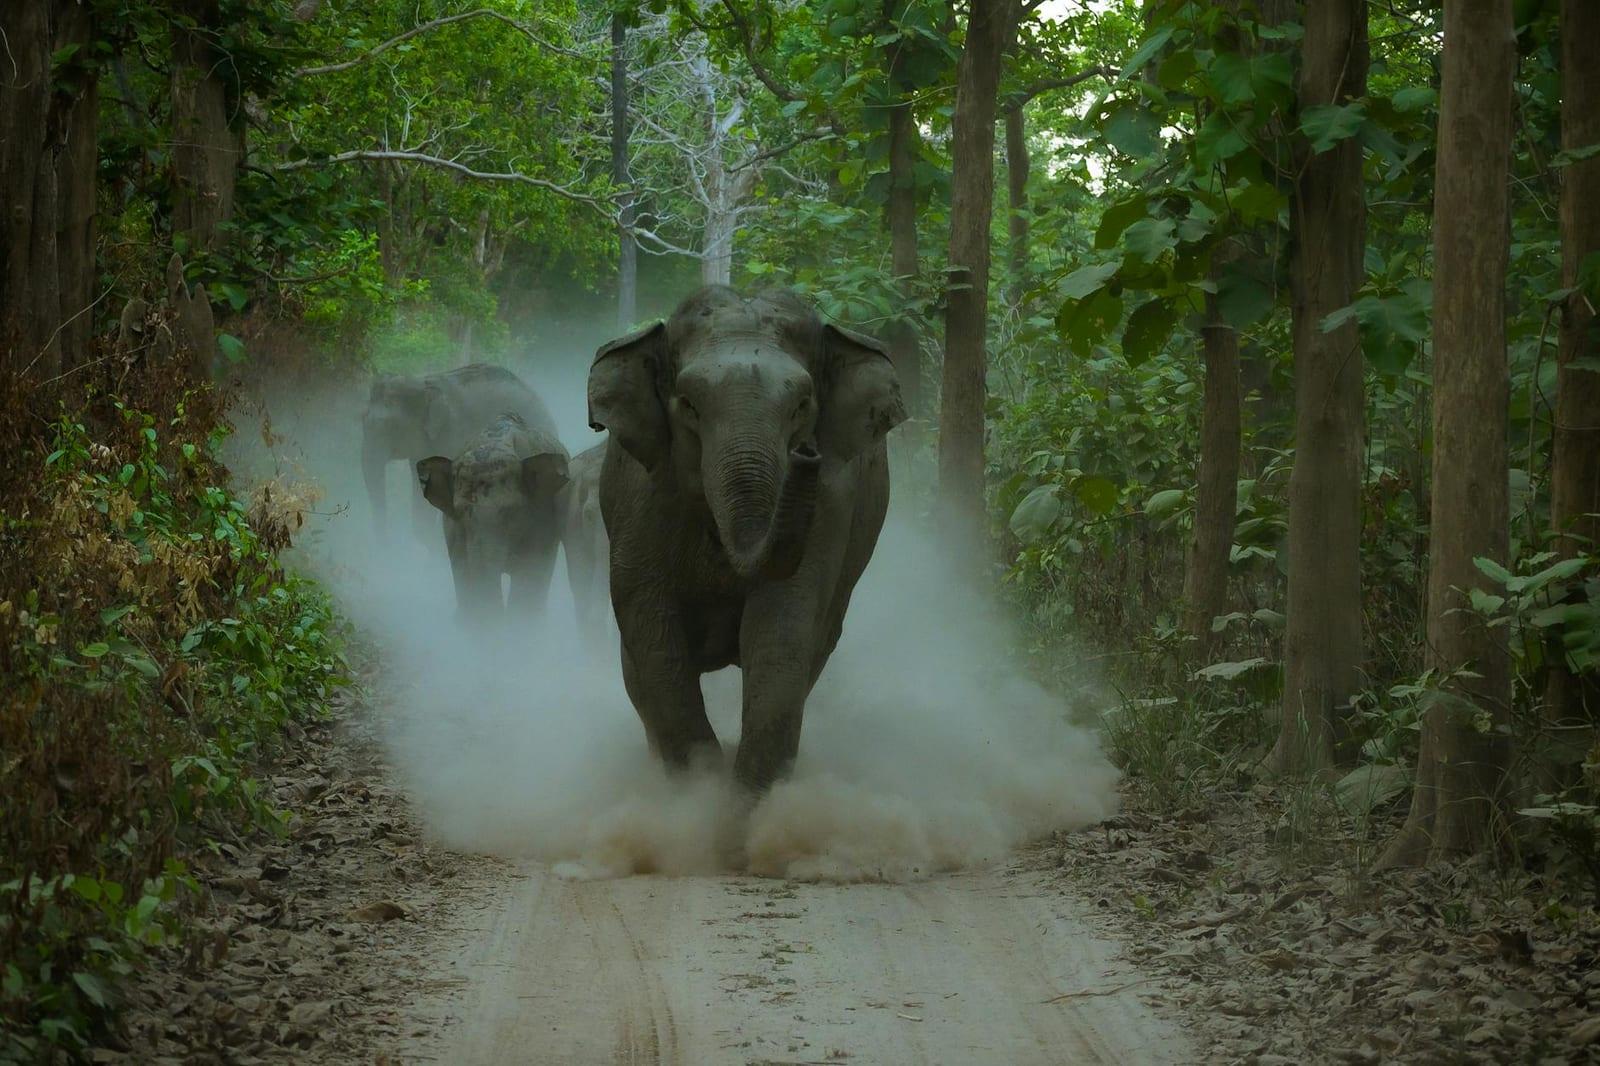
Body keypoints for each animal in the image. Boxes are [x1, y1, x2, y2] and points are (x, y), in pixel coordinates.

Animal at [415, 409, 570, 624]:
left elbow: (529, 573)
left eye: (510, 511)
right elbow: (463, 568)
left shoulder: (541, 516)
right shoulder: (453, 530)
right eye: (459, 512)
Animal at [586, 285, 906, 794]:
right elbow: (649, 624)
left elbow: (783, 622)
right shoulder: (642, 492)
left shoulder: (832, 501)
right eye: (689, 404)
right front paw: (699, 787)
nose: (806, 453)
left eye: (802, 405)